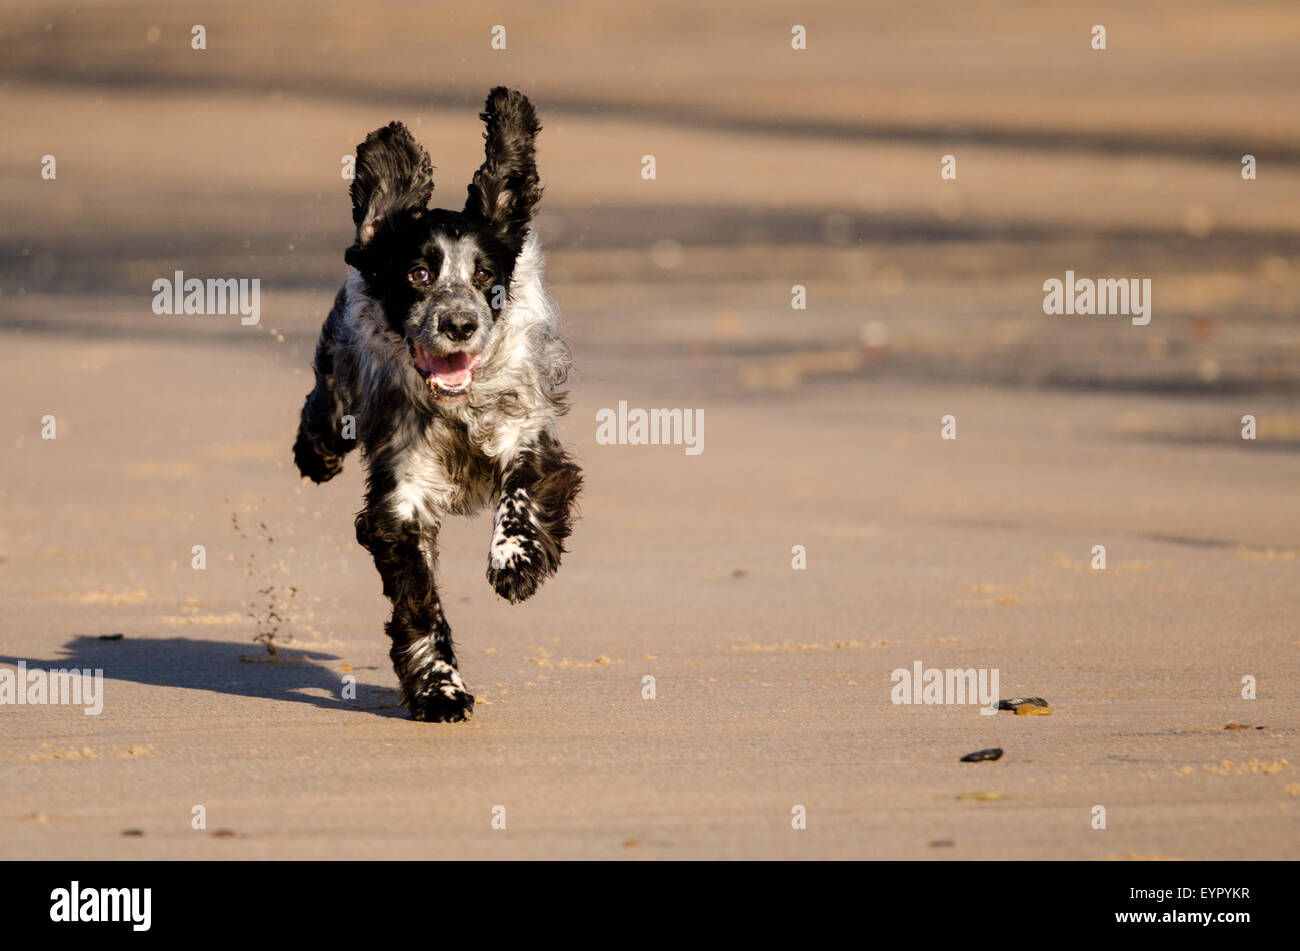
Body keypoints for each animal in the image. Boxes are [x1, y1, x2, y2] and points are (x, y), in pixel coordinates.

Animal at [295, 88, 585, 722]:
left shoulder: (528, 432)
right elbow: (420, 605)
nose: (459, 324)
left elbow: (522, 492)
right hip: (340, 366)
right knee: (325, 406)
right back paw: (316, 452)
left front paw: (514, 561)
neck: (454, 408)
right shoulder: (402, 496)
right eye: (419, 273)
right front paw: (439, 689)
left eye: (485, 276)